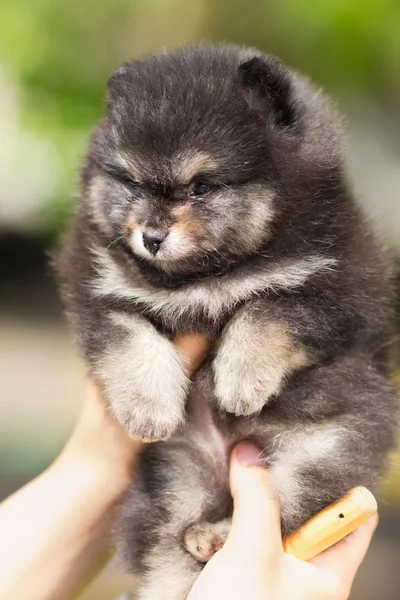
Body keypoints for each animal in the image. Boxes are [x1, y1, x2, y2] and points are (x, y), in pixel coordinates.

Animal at [57, 43, 398, 600]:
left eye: (201, 186)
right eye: (131, 183)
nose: (151, 237)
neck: (207, 273)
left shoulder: (343, 284)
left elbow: (267, 306)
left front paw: (240, 380)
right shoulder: (94, 279)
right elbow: (128, 335)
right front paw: (149, 406)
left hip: (324, 450)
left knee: (289, 504)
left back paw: (216, 535)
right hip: (174, 481)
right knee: (167, 555)